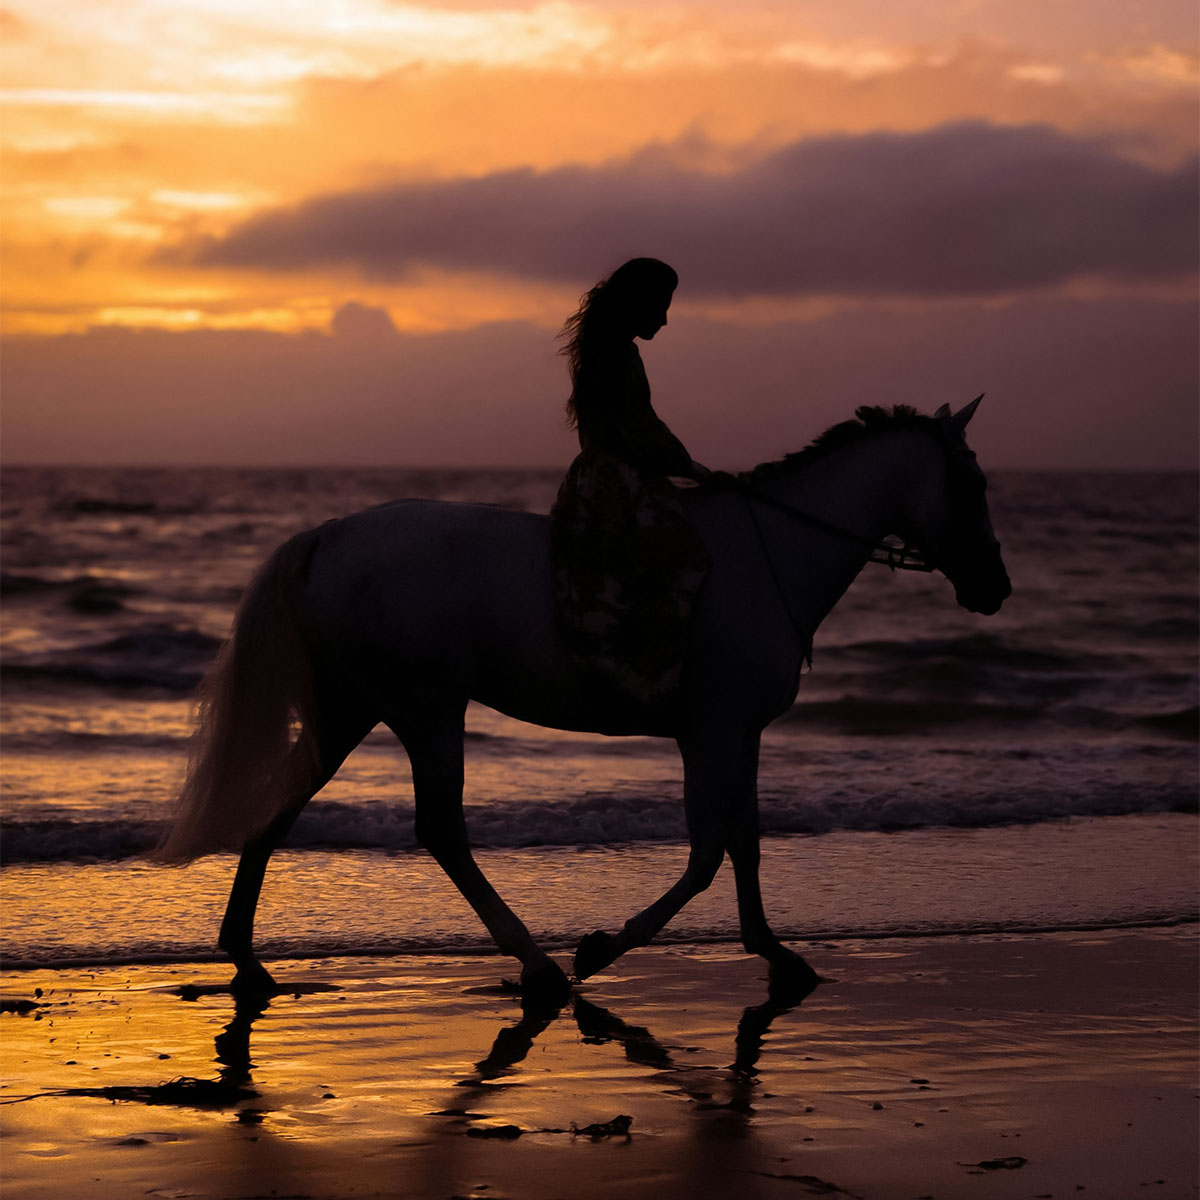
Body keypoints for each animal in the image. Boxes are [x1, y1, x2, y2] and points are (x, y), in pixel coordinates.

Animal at [155, 398, 1011, 1001]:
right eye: (973, 483)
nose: (995, 588)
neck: (767, 557)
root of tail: (328, 536)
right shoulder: (712, 731)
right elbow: (707, 852)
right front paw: (605, 948)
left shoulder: (739, 733)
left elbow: (744, 841)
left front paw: (774, 952)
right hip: (427, 707)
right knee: (440, 830)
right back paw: (537, 964)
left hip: (355, 707)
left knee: (285, 805)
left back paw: (245, 957)